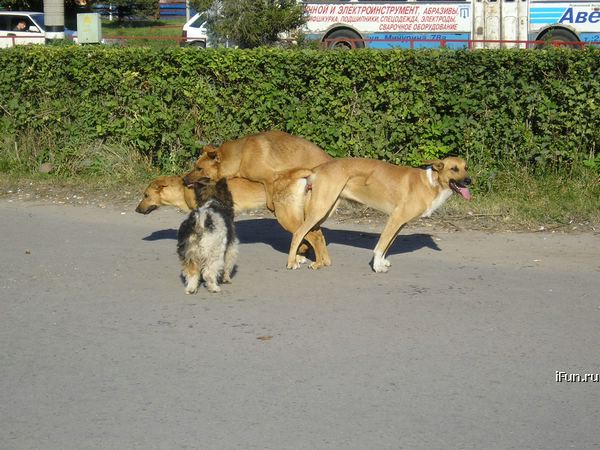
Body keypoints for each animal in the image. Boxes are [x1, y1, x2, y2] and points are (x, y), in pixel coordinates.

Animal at [288, 156, 474, 272]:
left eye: (466, 168)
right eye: (454, 169)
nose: (469, 180)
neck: (431, 183)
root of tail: (317, 169)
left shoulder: (400, 223)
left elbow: (388, 244)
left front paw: (382, 262)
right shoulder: (395, 219)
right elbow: (381, 245)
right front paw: (377, 266)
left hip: (326, 209)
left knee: (312, 233)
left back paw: (315, 261)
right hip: (320, 208)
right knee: (299, 232)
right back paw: (292, 262)